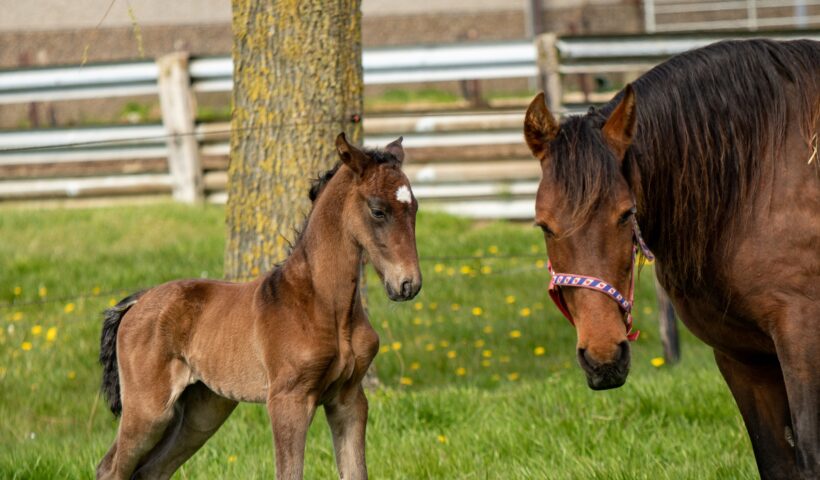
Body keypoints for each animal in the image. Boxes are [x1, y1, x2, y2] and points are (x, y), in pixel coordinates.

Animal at [94, 132, 422, 480]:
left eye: (415, 207)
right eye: (378, 210)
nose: (408, 284)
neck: (324, 305)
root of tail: (138, 300)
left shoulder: (349, 400)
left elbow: (355, 471)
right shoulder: (288, 401)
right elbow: (289, 473)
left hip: (203, 411)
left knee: (151, 471)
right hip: (149, 410)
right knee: (110, 469)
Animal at [524, 39, 820, 478]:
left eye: (626, 214)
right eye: (544, 226)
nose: (603, 357)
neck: (759, 179)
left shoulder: (802, 341)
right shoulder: (742, 357)